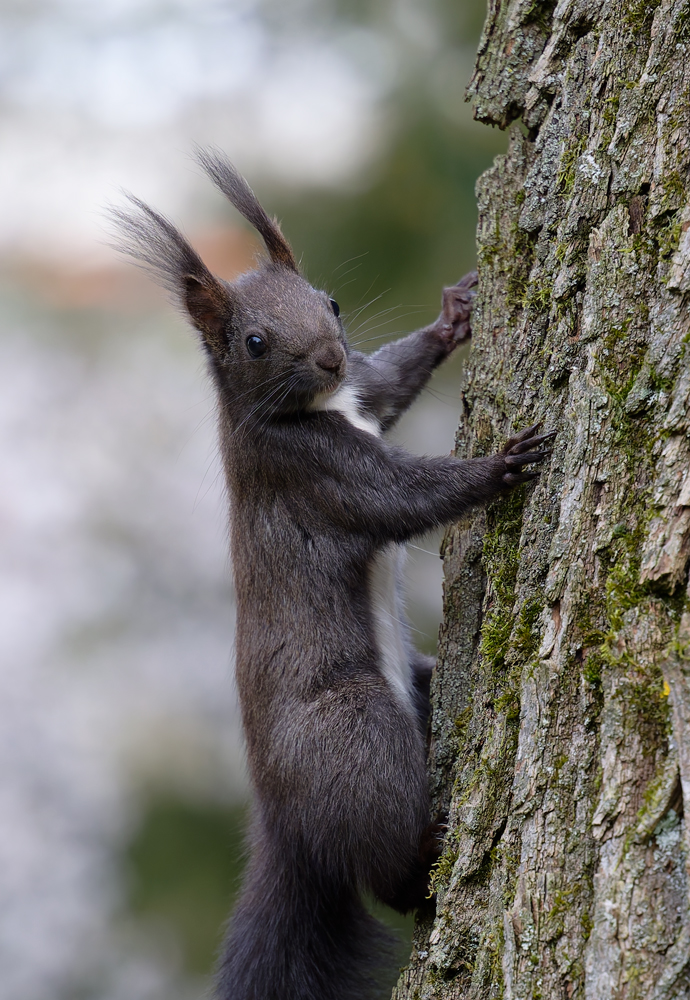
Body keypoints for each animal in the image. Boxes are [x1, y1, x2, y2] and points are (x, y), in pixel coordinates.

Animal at [114, 146, 552, 1000]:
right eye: (254, 341)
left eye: (333, 303)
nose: (328, 355)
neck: (313, 408)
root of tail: (285, 825)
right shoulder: (316, 474)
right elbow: (406, 496)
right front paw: (499, 465)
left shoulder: (365, 394)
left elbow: (390, 378)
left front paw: (455, 313)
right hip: (353, 730)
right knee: (381, 869)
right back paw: (426, 854)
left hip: (409, 687)